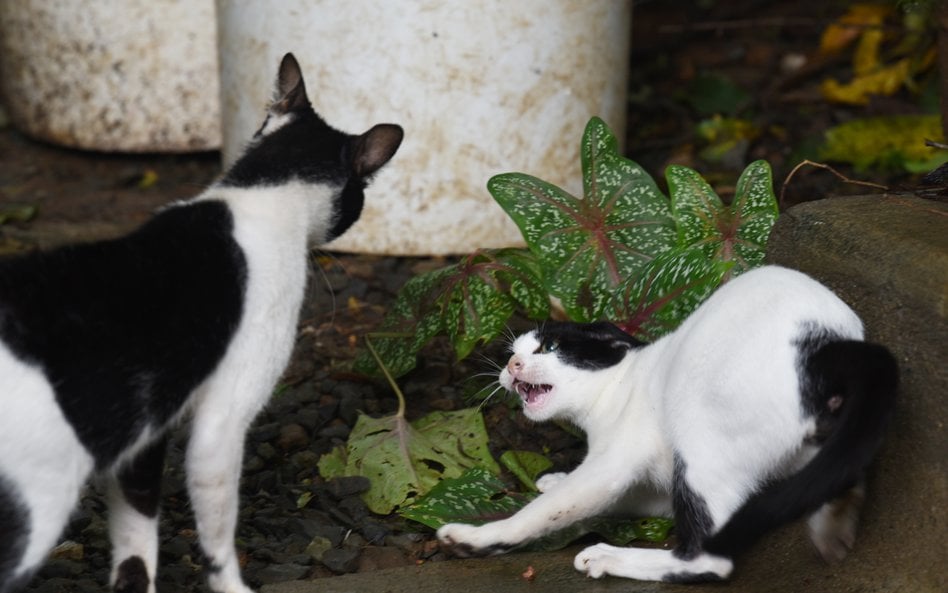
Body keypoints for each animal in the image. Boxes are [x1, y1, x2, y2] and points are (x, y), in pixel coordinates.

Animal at [0, 52, 402, 592]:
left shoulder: (145, 433)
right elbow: (217, 538)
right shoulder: (221, 425)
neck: (262, 194)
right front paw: (231, 584)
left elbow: (135, 544)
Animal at [436, 266, 896, 580]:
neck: (616, 391)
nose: (511, 366)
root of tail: (826, 347)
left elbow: (543, 512)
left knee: (708, 559)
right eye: (513, 352)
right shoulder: (650, 487)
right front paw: (554, 478)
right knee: (837, 475)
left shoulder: (610, 468)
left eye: (548, 347)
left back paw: (608, 556)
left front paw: (475, 538)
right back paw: (833, 524)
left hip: (698, 438)